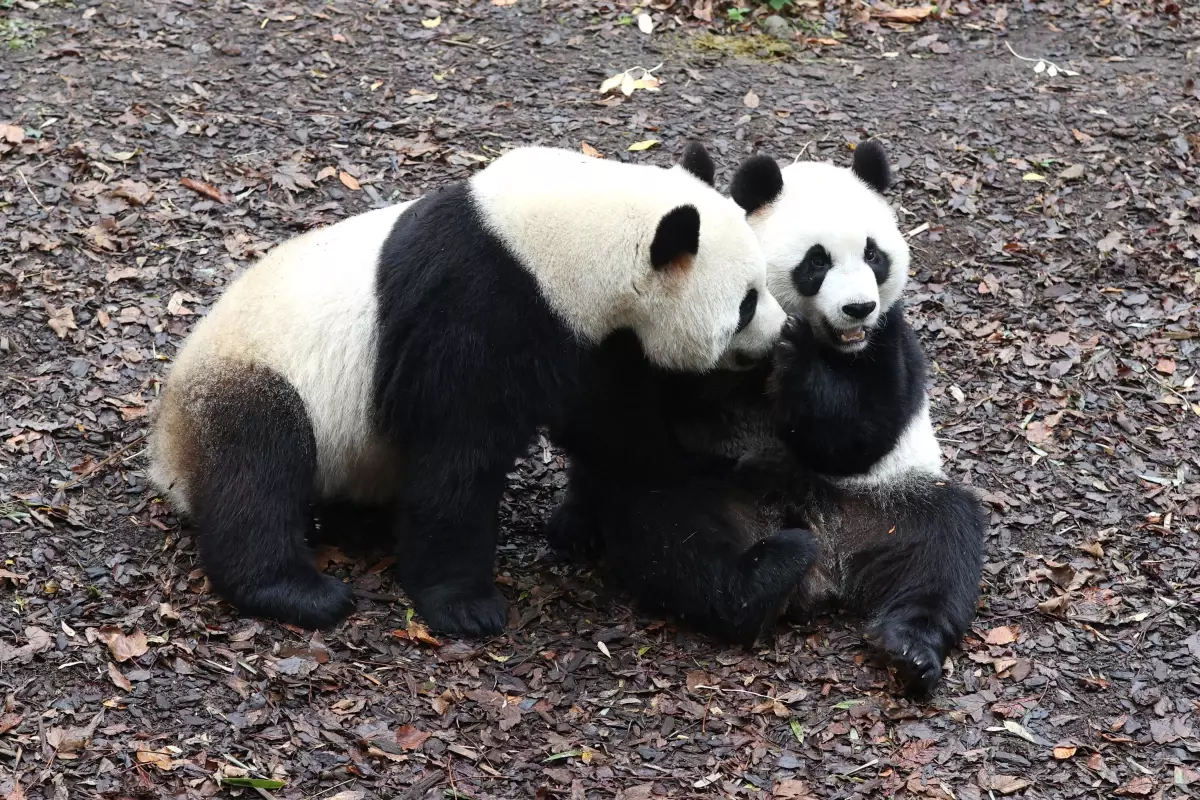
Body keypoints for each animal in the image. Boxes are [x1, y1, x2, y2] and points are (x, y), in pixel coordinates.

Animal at [147, 145, 787, 638]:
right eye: (746, 303)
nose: (781, 334)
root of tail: (166, 458)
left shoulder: (593, 341)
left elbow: (616, 433)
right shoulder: (480, 308)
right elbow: (457, 453)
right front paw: (466, 606)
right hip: (251, 375)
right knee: (258, 464)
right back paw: (299, 591)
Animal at [549, 142, 988, 695]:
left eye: (874, 254)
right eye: (817, 260)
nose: (858, 308)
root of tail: (828, 571)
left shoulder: (888, 341)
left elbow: (860, 434)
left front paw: (797, 363)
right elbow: (632, 427)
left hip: (882, 502)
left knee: (943, 540)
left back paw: (908, 647)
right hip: (713, 496)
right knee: (675, 533)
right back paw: (758, 583)